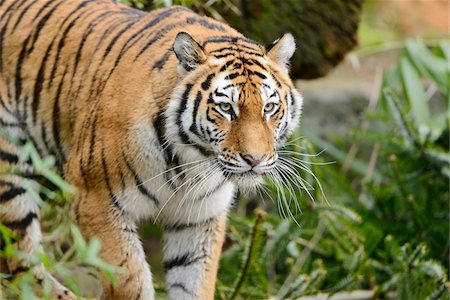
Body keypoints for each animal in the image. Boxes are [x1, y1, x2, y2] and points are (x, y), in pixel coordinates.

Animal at [0, 0, 302, 298]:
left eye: (269, 108)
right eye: (226, 108)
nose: (255, 159)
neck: (192, 162)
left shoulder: (200, 218)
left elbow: (194, 284)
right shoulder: (93, 198)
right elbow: (130, 279)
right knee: (19, 263)